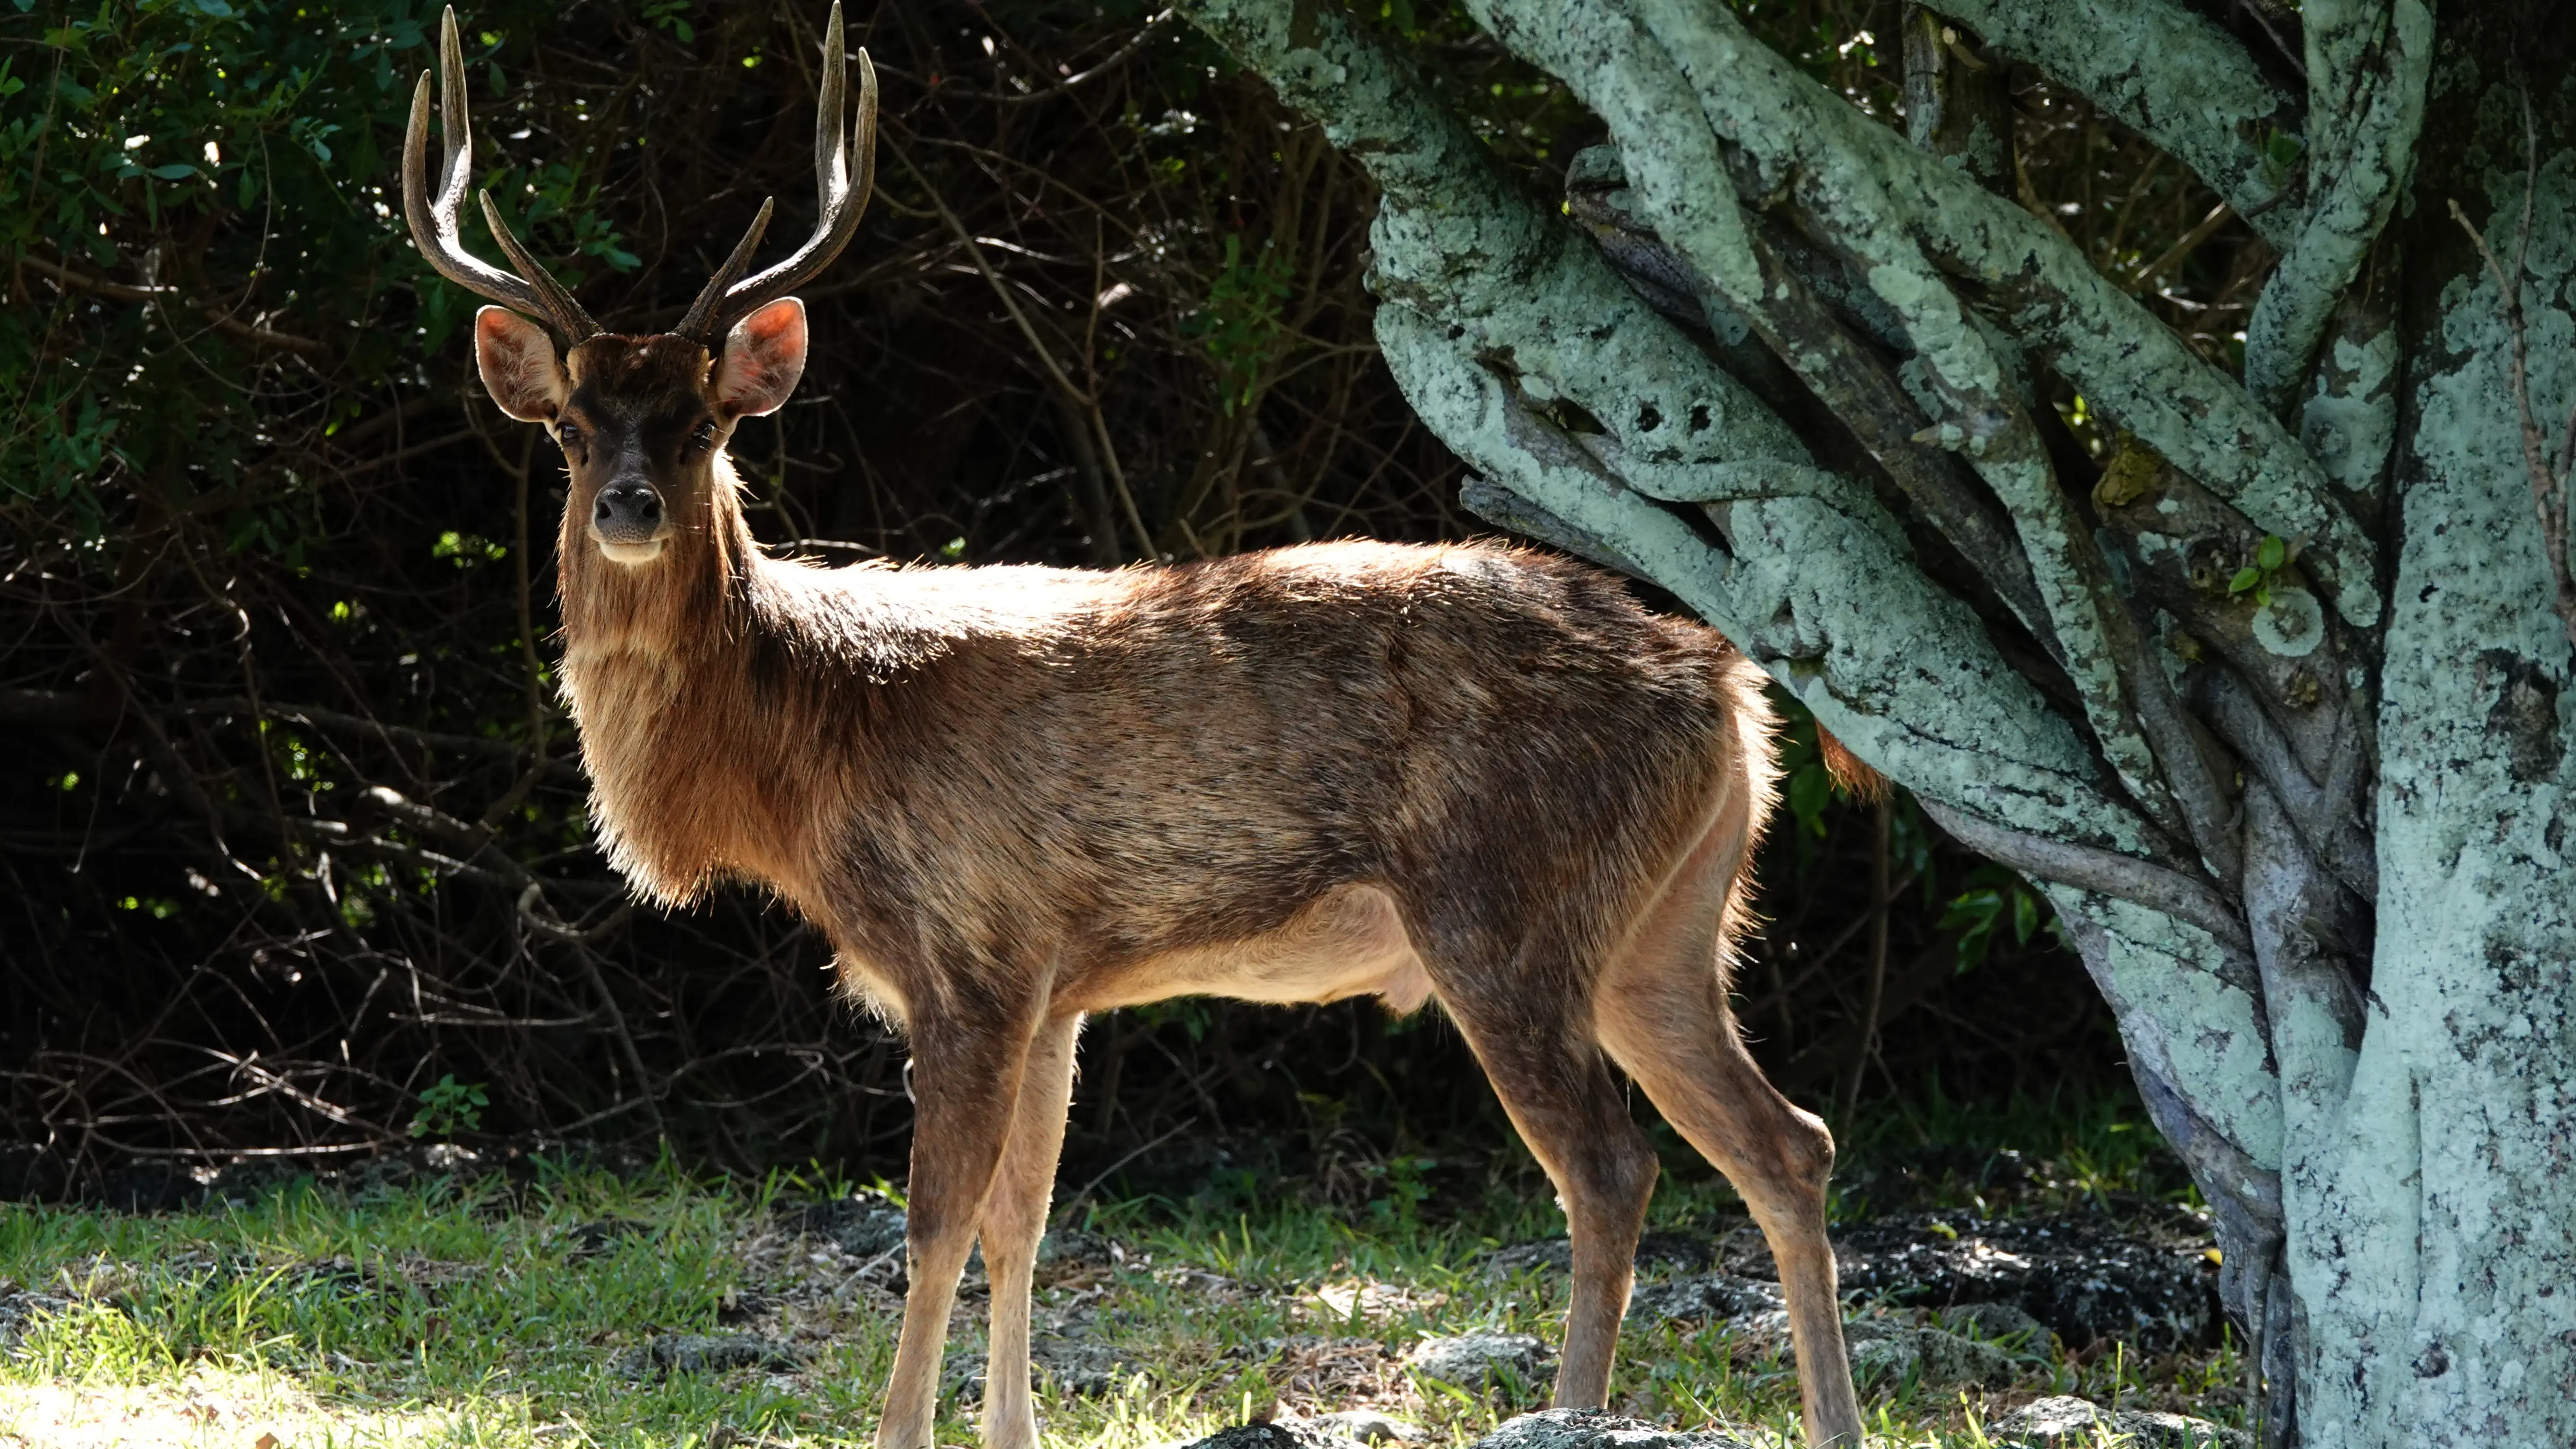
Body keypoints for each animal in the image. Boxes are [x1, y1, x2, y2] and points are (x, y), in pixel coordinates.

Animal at [403, 6, 1864, 1446]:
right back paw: (1824, 1416)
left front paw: (906, 1426)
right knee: (1789, 1139)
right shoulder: (1056, 984)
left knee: (1611, 1168)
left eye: (705, 423)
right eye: (572, 427)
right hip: (1666, 927)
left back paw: (1573, 1408)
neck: (811, 744)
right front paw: (1010, 1426)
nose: (629, 506)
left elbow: (933, 1225)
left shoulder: (970, 949)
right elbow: (1021, 1223)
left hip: (1506, 903)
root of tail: (1728, 691)